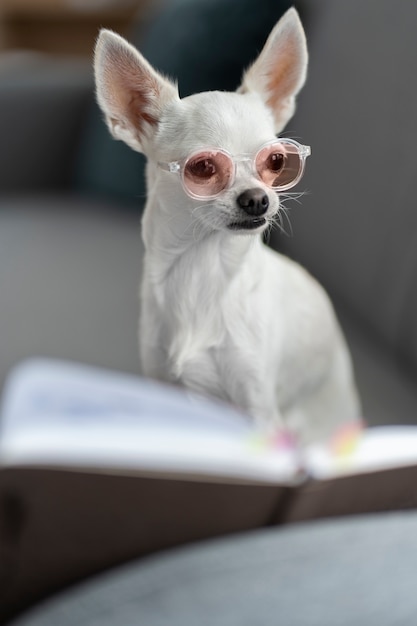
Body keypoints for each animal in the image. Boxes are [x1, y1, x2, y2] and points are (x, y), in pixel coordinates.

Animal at [94, 7, 358, 442]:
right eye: (203, 167)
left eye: (276, 161)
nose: (257, 199)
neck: (203, 269)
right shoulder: (161, 389)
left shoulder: (258, 408)